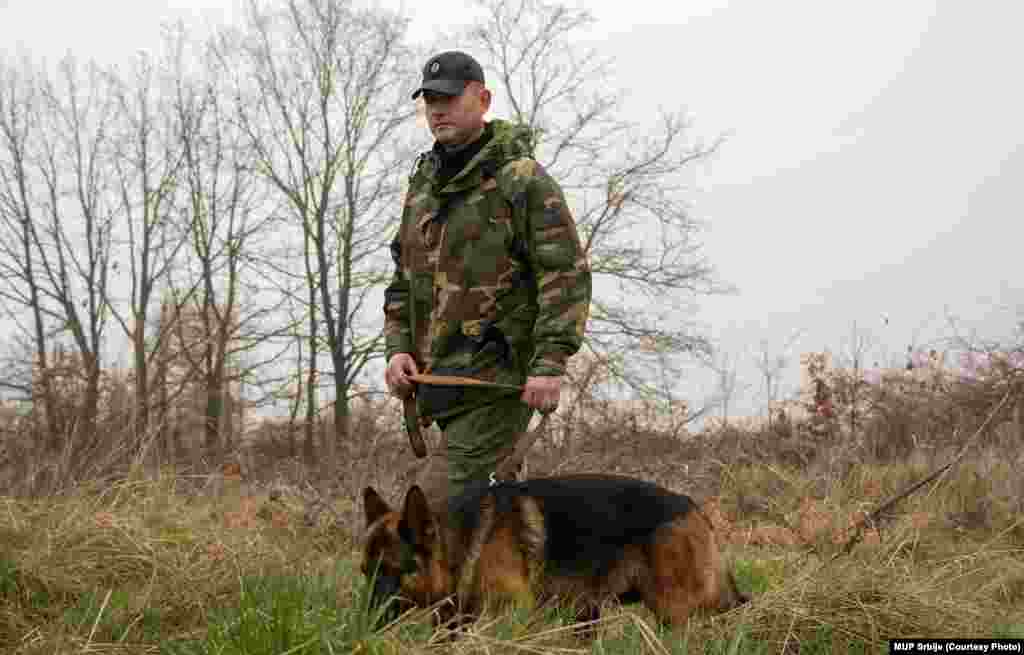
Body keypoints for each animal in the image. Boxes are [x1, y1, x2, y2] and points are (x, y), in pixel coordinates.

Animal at [364, 474, 749, 630]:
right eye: (367, 573)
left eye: (391, 571)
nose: (363, 621)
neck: (463, 540)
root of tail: (693, 507)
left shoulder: (511, 615)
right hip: (587, 614)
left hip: (673, 613)